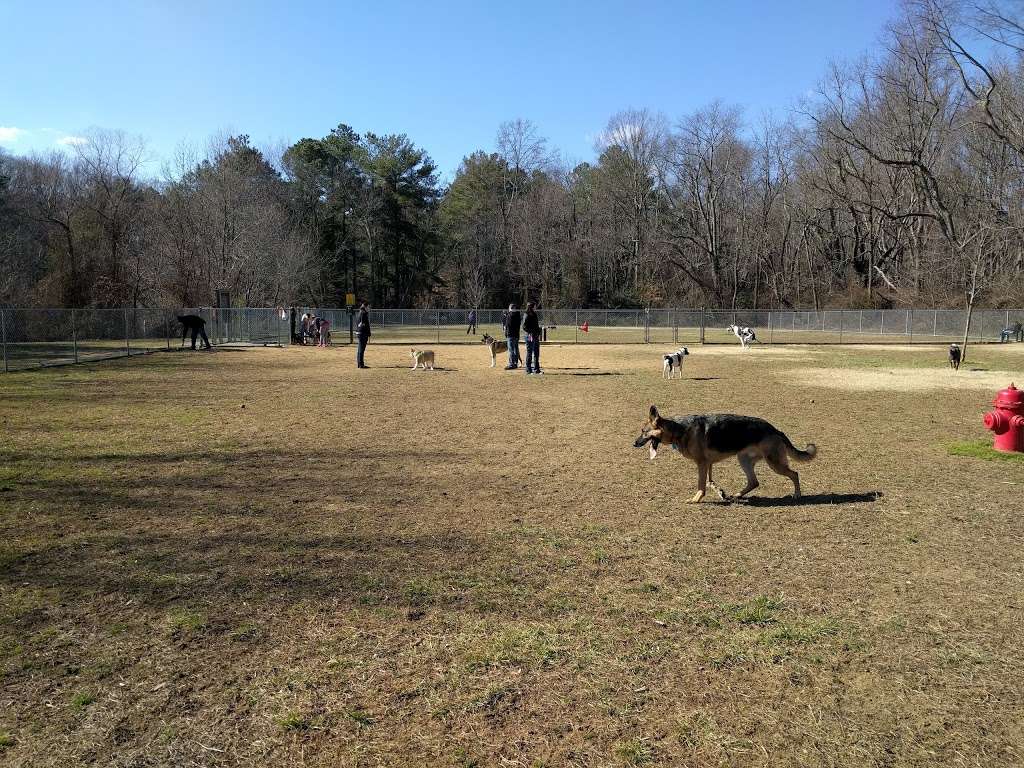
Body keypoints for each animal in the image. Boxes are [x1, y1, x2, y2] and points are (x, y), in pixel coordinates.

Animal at [630, 405, 815, 501]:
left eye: (644, 432)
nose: (634, 443)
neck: (679, 429)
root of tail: (775, 429)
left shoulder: (702, 463)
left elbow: (701, 483)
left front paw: (696, 499)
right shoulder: (708, 463)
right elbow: (709, 480)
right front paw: (718, 491)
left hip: (774, 463)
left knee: (794, 474)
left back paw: (797, 494)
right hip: (743, 459)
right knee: (754, 482)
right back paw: (736, 495)